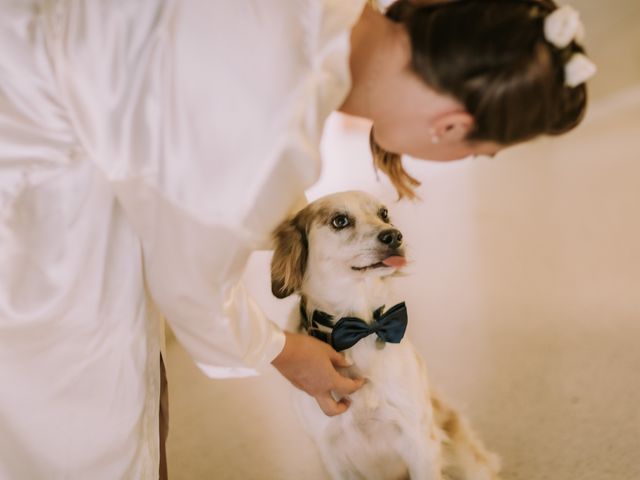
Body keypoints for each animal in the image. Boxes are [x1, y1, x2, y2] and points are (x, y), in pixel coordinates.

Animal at [270, 191, 500, 480]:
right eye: (340, 220)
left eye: (384, 214)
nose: (394, 236)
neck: (361, 328)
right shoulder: (332, 454)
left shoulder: (419, 441)